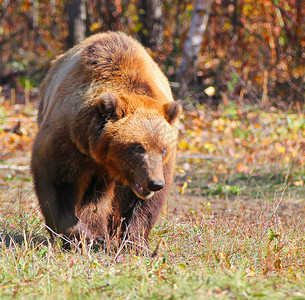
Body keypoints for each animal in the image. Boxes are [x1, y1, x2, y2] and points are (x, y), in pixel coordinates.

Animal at [30, 31, 179, 248]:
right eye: (138, 147)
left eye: (163, 149)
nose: (154, 183)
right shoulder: (68, 139)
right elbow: (57, 184)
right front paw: (81, 235)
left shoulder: (160, 165)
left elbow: (144, 205)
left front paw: (134, 241)